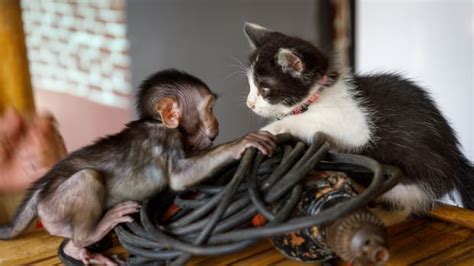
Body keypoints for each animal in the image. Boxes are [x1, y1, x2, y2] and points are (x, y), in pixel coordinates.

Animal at [0, 69, 276, 264]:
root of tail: (42, 187)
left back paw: (76, 250)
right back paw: (91, 233)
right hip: (53, 208)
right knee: (87, 177)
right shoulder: (166, 139)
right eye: (209, 109)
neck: (157, 122)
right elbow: (180, 177)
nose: (216, 122)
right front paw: (241, 143)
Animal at [244, 22, 474, 222]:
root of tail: (455, 160)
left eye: (264, 89)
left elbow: (309, 122)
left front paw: (269, 130)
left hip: (413, 175)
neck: (318, 95)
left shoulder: (356, 126)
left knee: (405, 203)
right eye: (250, 85)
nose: (249, 104)